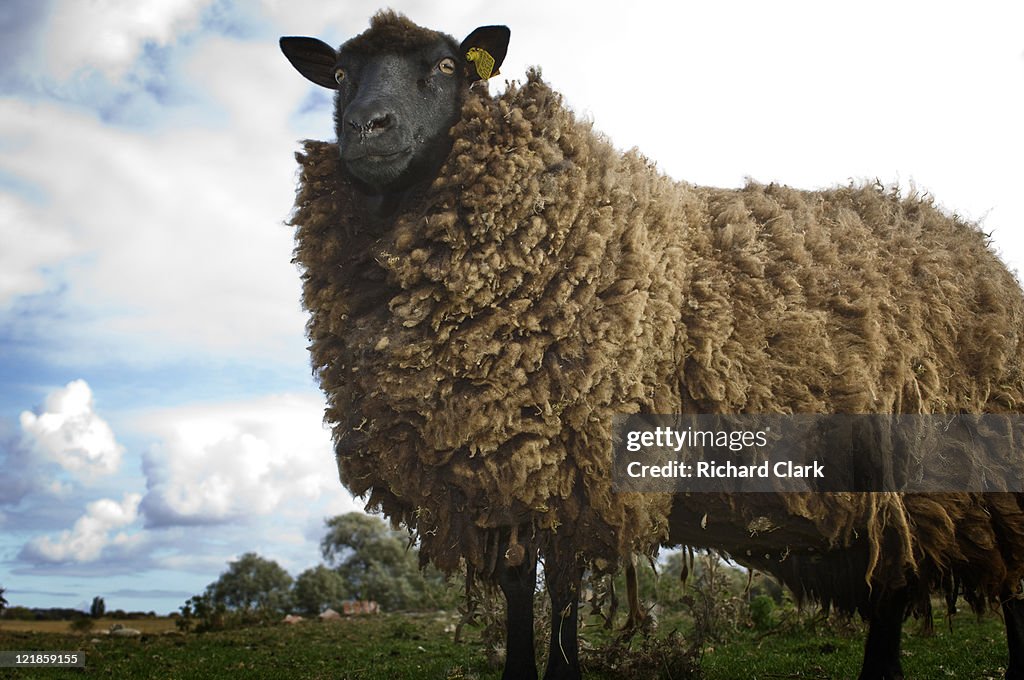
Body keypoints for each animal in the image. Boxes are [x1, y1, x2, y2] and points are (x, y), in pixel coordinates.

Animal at [280, 10, 1024, 680]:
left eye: (443, 67)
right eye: (339, 76)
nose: (367, 127)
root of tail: (980, 247)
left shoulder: (575, 458)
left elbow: (566, 588)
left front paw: (563, 672)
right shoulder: (504, 468)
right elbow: (522, 586)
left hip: (966, 467)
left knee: (972, 583)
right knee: (894, 577)